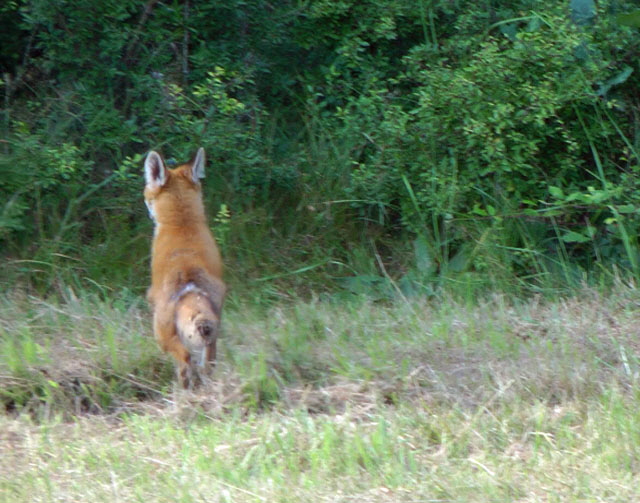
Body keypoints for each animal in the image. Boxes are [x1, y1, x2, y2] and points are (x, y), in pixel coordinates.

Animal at [144, 147, 226, 388]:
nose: (148, 211)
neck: (182, 223)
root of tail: (190, 286)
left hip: (162, 336)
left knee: (185, 362)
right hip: (213, 335)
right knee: (206, 366)